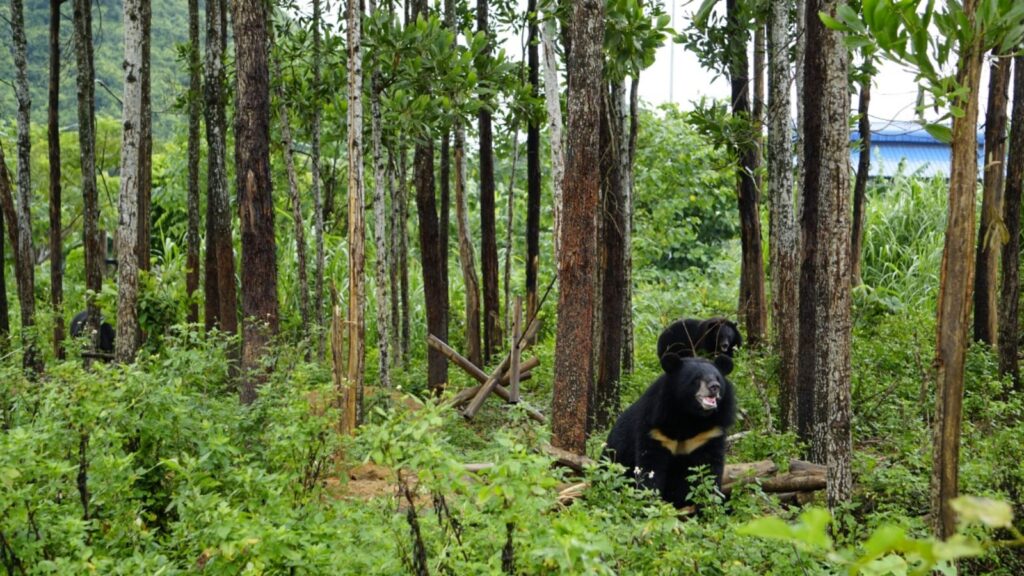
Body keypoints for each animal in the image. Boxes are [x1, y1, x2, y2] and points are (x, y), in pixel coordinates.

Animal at [604, 356, 736, 509]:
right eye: (697, 378)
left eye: (718, 378)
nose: (715, 387)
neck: (691, 416)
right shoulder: (656, 428)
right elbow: (651, 467)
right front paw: (650, 503)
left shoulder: (709, 433)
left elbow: (709, 470)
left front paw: (709, 505)